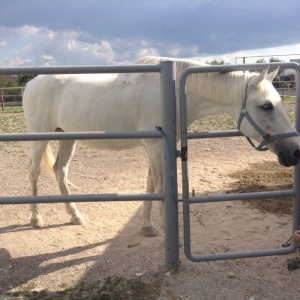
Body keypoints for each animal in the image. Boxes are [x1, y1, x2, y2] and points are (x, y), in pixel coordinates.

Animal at [22, 55, 300, 236]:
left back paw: (75, 216)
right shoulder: (156, 148)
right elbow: (161, 186)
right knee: (34, 172)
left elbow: (150, 185)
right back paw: (36, 218)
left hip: (67, 137)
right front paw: (165, 229)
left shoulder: (158, 147)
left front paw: (147, 226)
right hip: (40, 137)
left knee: (60, 172)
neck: (172, 92)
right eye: (266, 106)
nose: (295, 151)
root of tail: (31, 83)